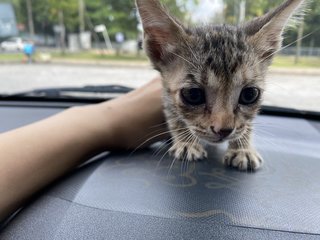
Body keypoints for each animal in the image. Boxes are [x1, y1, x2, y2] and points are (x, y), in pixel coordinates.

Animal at [136, 0, 306, 171]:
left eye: (250, 94)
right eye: (193, 94)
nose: (224, 130)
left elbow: (246, 124)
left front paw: (242, 149)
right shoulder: (165, 95)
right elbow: (174, 116)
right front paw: (186, 143)